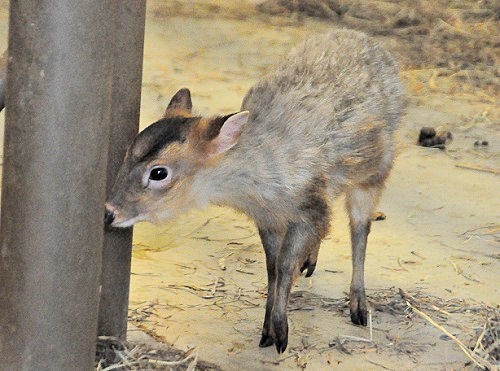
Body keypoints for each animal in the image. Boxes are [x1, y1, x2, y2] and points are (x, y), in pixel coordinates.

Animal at [104, 30, 402, 354]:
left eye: (159, 172)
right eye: (127, 152)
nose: (109, 212)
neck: (259, 178)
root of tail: (365, 39)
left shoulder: (309, 206)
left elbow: (285, 264)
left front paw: (281, 331)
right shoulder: (267, 218)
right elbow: (272, 267)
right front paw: (267, 328)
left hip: (374, 169)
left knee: (360, 229)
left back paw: (358, 305)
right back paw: (311, 262)